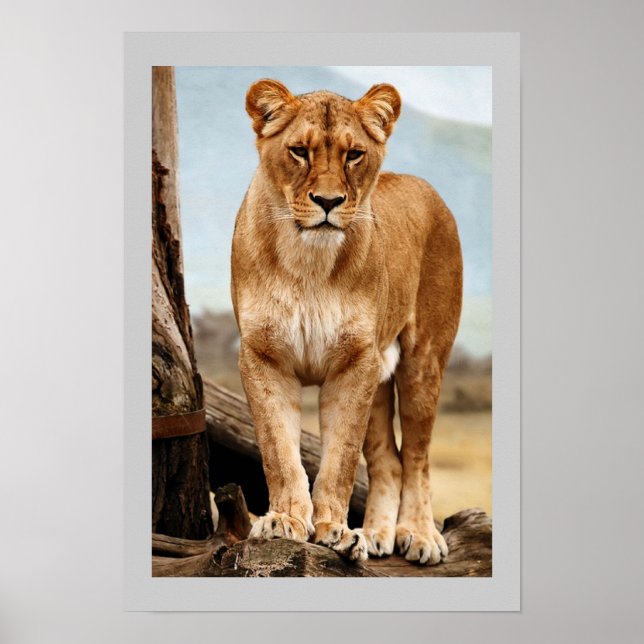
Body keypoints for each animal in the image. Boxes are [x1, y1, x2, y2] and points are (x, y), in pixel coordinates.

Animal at [231, 79, 462, 565]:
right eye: (299, 151)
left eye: (354, 154)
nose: (328, 201)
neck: (308, 262)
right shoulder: (263, 357)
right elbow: (279, 451)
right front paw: (284, 521)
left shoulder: (355, 362)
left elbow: (339, 459)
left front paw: (334, 530)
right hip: (380, 375)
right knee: (388, 460)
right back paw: (376, 534)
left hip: (422, 363)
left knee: (417, 457)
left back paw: (419, 534)